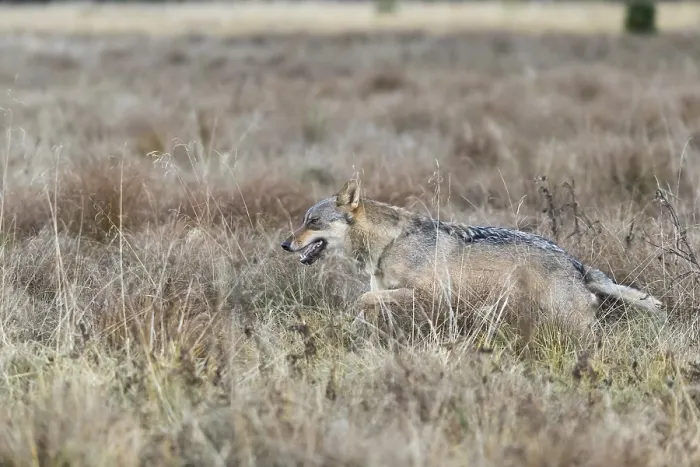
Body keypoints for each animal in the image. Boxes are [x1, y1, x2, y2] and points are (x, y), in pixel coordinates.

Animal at [280, 178, 664, 342]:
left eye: (312, 222)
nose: (285, 244)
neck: (389, 243)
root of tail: (576, 262)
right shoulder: (390, 293)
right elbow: (368, 304)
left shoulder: (429, 296)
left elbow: (363, 298)